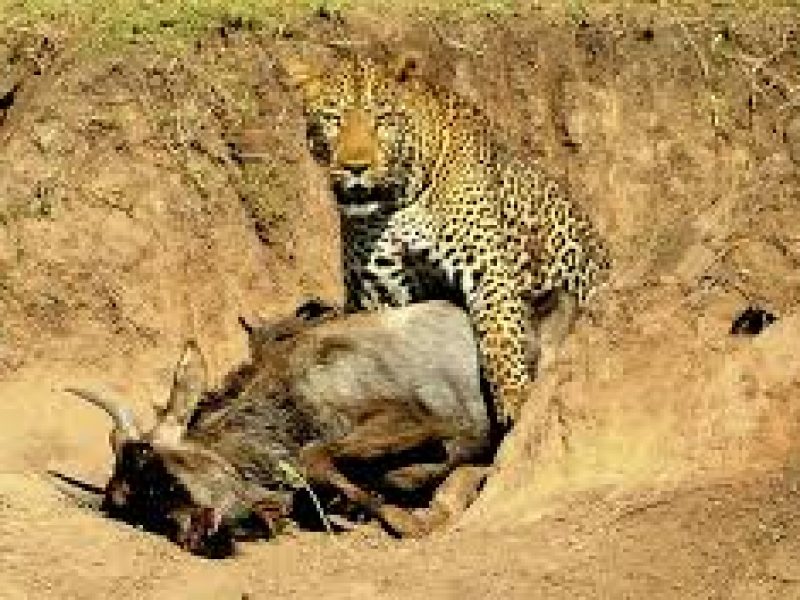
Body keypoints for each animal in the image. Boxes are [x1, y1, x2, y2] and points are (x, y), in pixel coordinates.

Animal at [279, 51, 611, 426]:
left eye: (382, 119)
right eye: (333, 119)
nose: (356, 167)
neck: (399, 202)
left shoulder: (487, 271)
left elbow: (502, 338)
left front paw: (516, 400)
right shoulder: (381, 290)